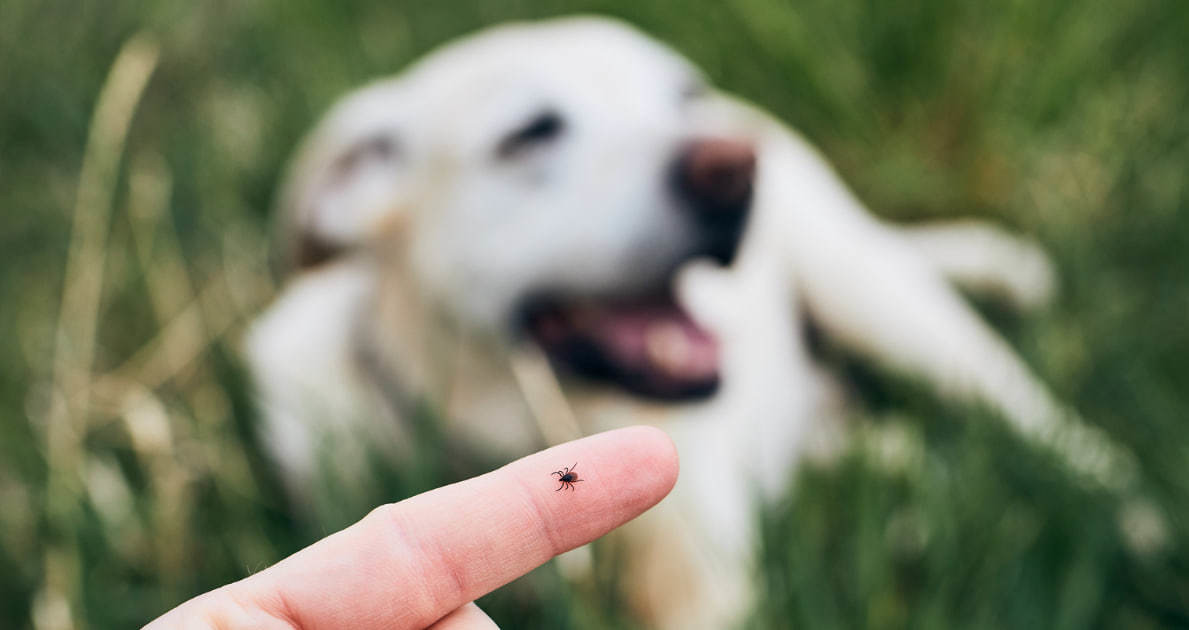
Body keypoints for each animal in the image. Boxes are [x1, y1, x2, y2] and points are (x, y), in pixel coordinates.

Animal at [246, 15, 1136, 627]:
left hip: (880, 301)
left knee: (1044, 427)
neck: (512, 425)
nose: (732, 166)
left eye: (682, 95)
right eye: (530, 132)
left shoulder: (702, 581)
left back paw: (1135, 518)